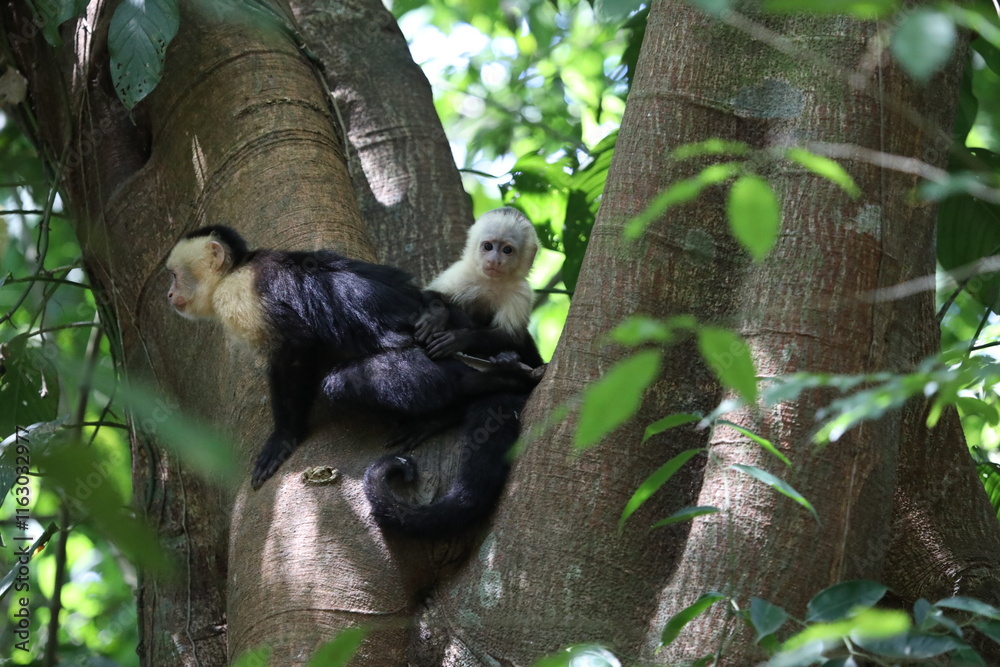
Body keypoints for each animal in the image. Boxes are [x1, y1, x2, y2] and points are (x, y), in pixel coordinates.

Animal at [165, 225, 538, 492]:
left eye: (174, 276)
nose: (168, 294)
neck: (235, 271)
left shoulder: (239, 296)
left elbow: (297, 346)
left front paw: (284, 437)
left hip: (429, 360)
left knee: (346, 383)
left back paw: (485, 385)